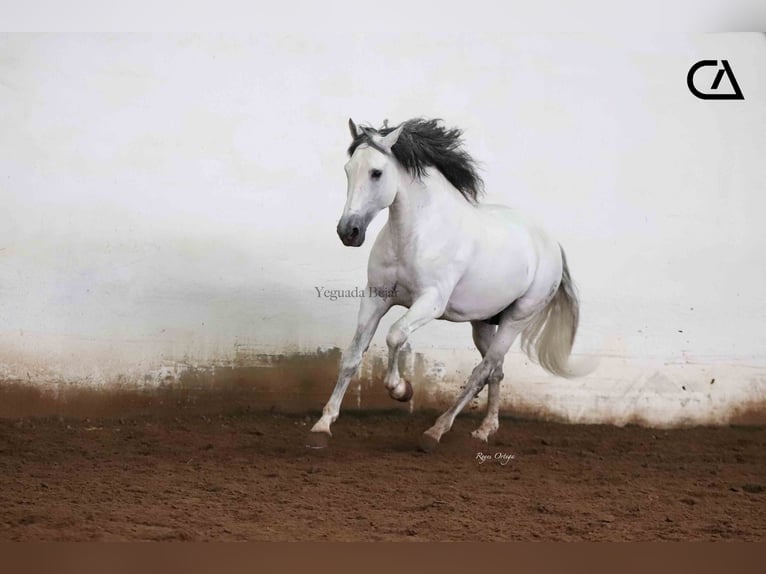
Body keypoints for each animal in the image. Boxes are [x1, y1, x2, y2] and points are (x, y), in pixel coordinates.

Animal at [307, 117, 583, 452]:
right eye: (348, 170)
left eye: (376, 172)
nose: (348, 231)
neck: (414, 235)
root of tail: (552, 244)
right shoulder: (375, 297)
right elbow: (351, 356)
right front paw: (323, 426)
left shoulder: (431, 302)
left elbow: (395, 335)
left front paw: (401, 390)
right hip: (483, 323)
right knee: (496, 371)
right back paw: (484, 431)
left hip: (517, 319)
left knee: (482, 371)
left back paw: (436, 431)